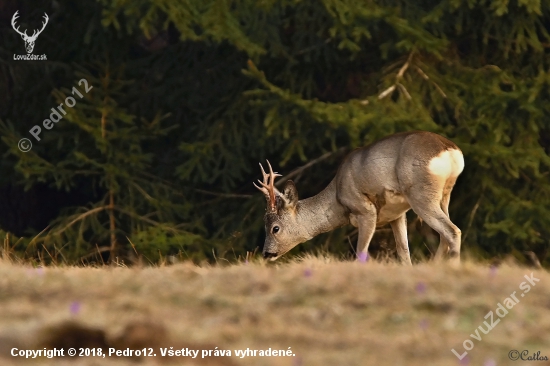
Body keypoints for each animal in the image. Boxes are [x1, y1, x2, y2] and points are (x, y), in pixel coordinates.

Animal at [254, 130, 466, 264]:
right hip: (445, 194)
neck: (337, 199)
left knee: (453, 231)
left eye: (275, 228)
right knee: (444, 235)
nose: (266, 253)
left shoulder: (365, 210)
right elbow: (404, 252)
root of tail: (450, 150)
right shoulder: (396, 214)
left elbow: (361, 253)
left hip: (420, 193)